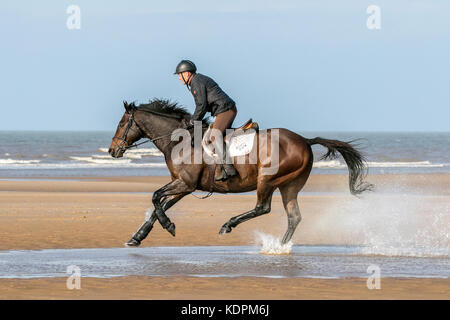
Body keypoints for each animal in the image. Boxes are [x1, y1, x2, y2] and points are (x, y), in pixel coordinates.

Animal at [108, 99, 372, 246]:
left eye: (121, 123)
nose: (112, 150)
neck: (178, 140)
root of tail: (305, 141)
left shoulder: (185, 184)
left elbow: (155, 198)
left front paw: (168, 226)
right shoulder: (183, 186)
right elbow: (158, 206)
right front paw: (137, 237)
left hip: (267, 179)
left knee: (262, 208)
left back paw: (229, 225)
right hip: (289, 185)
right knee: (294, 217)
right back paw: (280, 246)